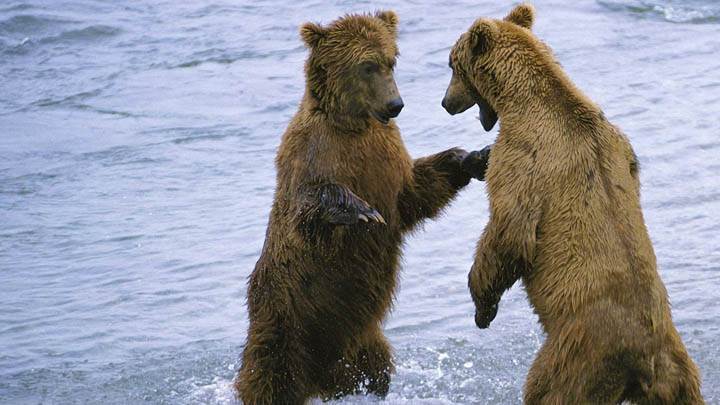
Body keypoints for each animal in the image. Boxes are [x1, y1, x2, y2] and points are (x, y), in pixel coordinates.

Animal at [235, 11, 490, 404]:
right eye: (366, 65)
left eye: (390, 60)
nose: (395, 104)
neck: (354, 125)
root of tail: (320, 380)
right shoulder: (312, 152)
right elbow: (305, 213)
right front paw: (359, 210)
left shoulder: (387, 160)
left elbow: (415, 193)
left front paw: (474, 157)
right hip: (283, 320)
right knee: (268, 376)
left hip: (361, 341)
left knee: (374, 368)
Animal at [442, 4, 704, 404]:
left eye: (452, 65)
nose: (445, 103)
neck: (524, 99)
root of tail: (646, 357)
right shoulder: (620, 144)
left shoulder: (523, 158)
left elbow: (509, 232)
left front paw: (482, 306)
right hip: (679, 373)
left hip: (576, 354)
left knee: (547, 389)